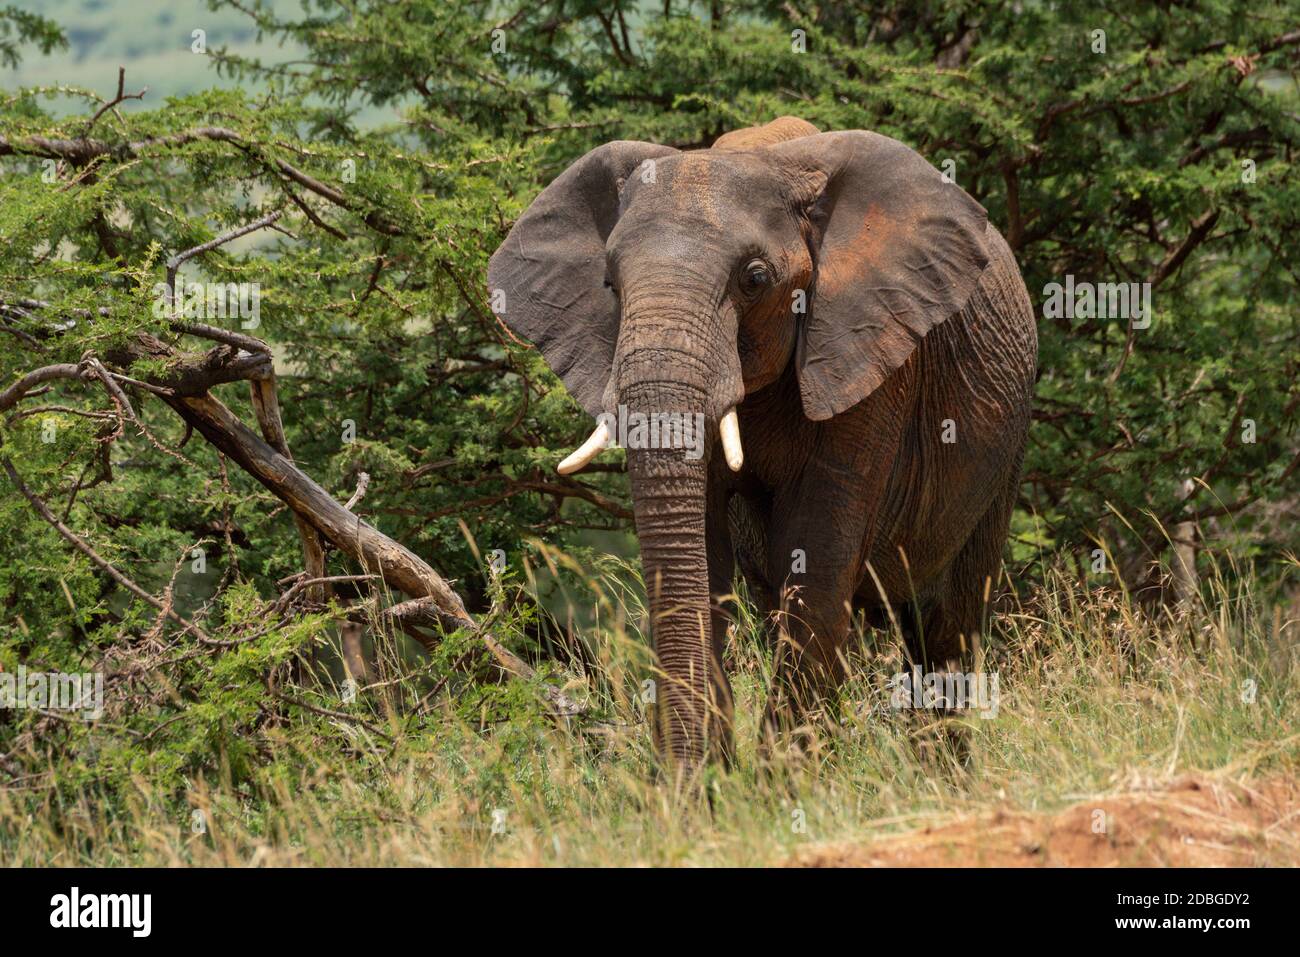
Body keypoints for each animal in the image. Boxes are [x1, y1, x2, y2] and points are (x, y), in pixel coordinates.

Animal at [488, 116, 1037, 771]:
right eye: (609, 285)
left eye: (754, 280)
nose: (680, 782)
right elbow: (702, 562)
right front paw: (711, 783)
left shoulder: (871, 358)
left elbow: (817, 566)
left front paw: (779, 788)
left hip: (1005, 452)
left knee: (946, 625)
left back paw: (941, 777)